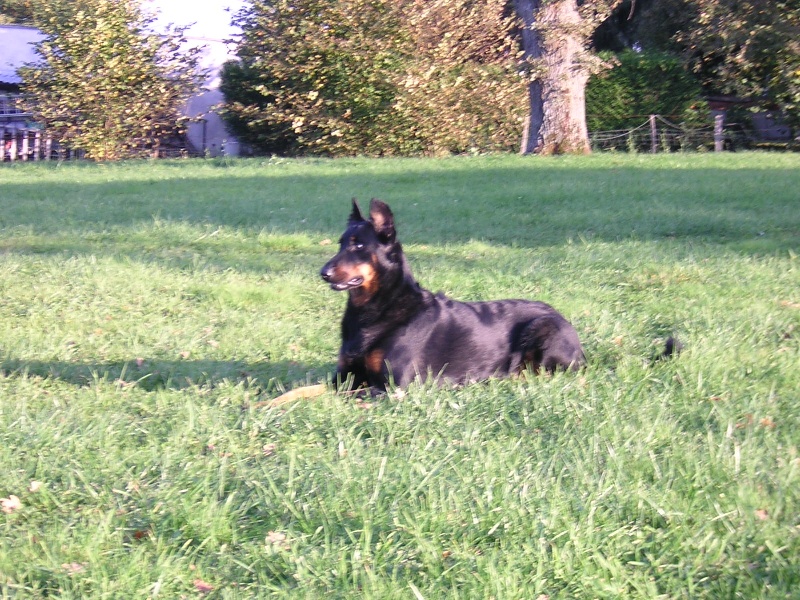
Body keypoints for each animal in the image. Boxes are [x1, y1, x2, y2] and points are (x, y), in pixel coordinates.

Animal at [318, 198, 588, 394]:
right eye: (341, 243)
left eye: (359, 245)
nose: (323, 273)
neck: (377, 306)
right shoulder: (342, 376)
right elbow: (315, 388)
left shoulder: (392, 386)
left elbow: (344, 395)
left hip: (543, 328)